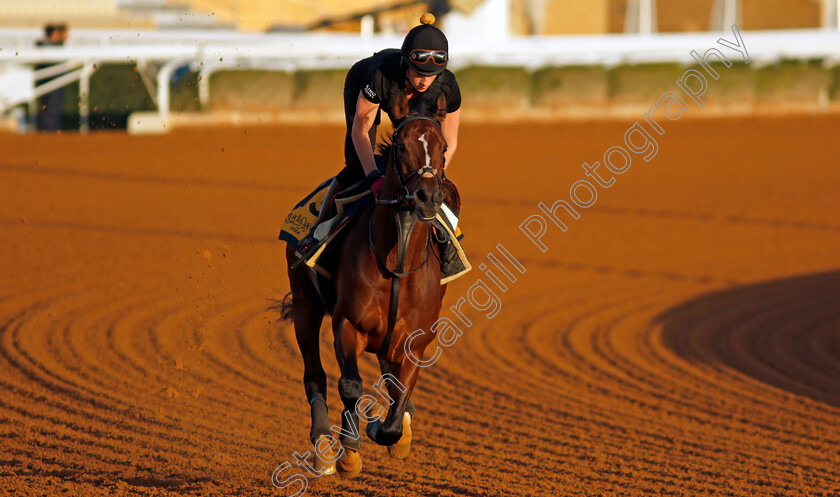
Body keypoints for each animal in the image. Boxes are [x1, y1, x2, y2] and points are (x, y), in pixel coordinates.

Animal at [280, 92, 452, 476]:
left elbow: (400, 396)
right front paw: (350, 453)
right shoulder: (348, 324)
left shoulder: (416, 340)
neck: (398, 262)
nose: (427, 196)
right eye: (401, 146)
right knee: (314, 374)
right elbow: (349, 384)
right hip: (305, 303)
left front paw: (390, 430)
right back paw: (323, 447)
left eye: (444, 147)